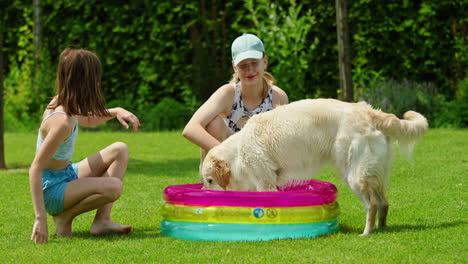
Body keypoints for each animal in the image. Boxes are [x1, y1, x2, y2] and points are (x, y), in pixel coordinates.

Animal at [201, 99, 428, 235]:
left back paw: (366, 233)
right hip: (374, 174)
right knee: (383, 202)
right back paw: (381, 228)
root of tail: (369, 112)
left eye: (210, 180)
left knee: (371, 204)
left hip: (354, 175)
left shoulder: (265, 182)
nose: (204, 193)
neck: (239, 150)